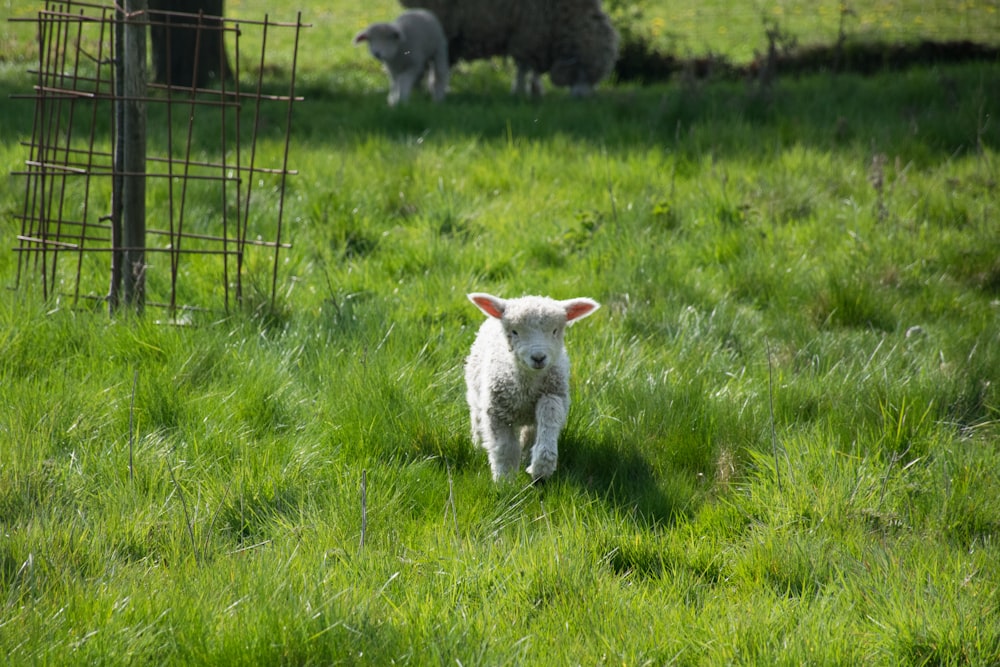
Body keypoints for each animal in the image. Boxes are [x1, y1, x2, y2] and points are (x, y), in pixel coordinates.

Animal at [398, 0, 616, 97]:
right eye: (583, 71)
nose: (582, 99)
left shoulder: (532, 34)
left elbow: (527, 67)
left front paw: (533, 89)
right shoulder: (528, 31)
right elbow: (525, 66)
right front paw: (521, 90)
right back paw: (421, 88)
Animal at [464, 292, 596, 480]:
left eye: (555, 331)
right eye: (514, 331)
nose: (538, 357)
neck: (527, 386)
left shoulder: (553, 395)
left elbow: (549, 417)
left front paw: (541, 468)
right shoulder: (496, 411)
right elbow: (505, 448)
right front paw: (504, 480)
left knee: (529, 435)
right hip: (476, 394)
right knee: (477, 419)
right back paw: (478, 446)